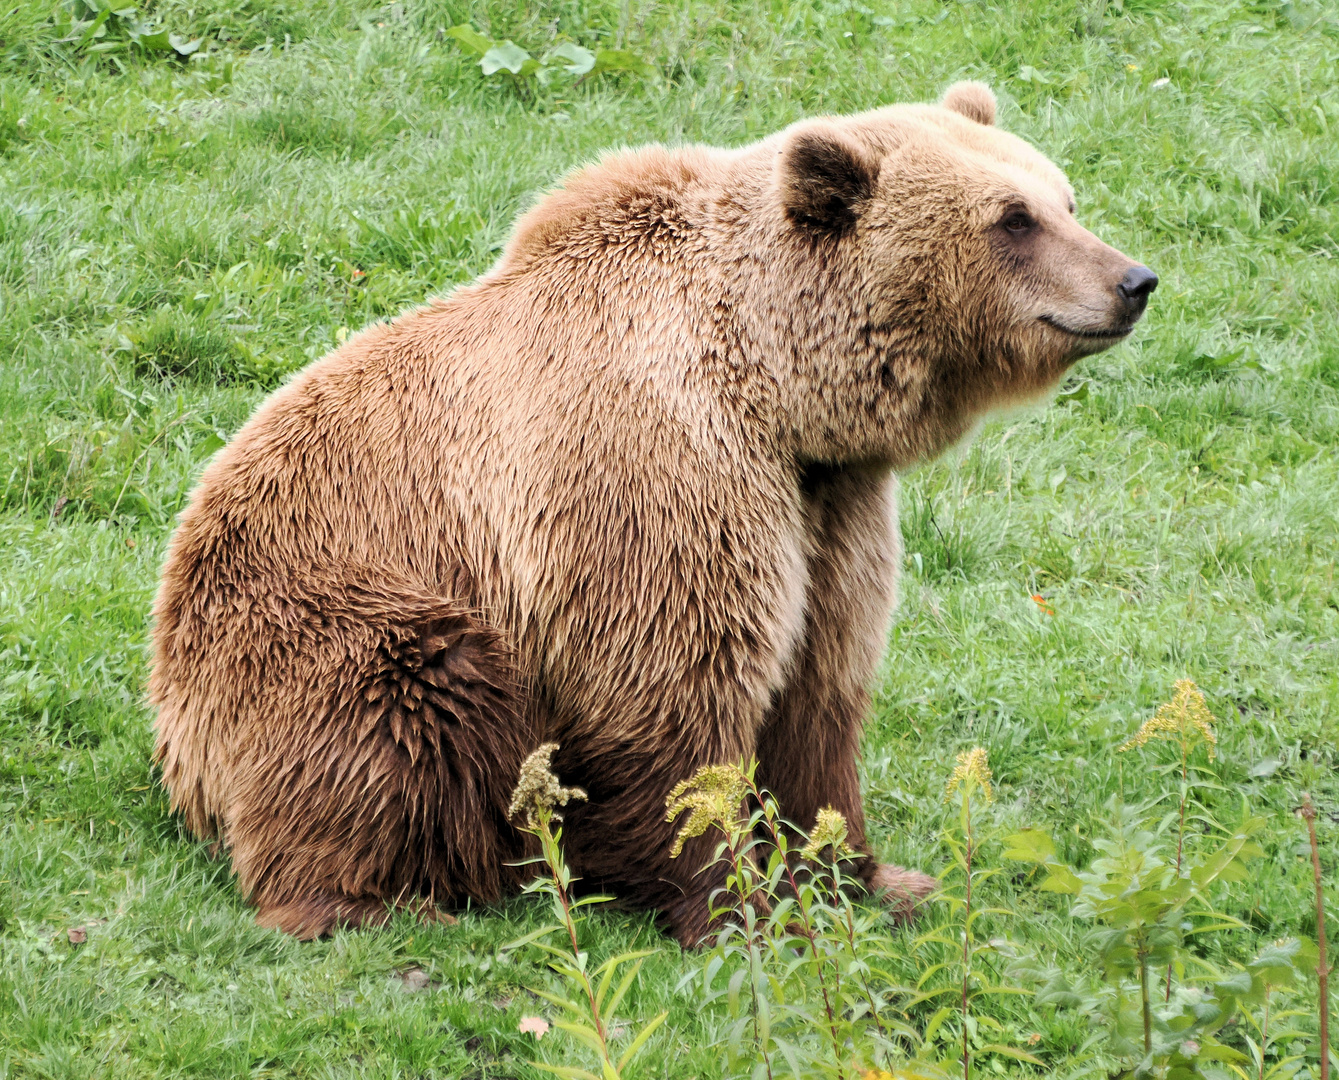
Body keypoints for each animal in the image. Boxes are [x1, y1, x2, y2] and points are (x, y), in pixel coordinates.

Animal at [146, 82, 1151, 947]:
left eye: (1064, 198)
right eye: (1012, 218)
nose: (1132, 280)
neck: (778, 387)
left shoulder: (832, 505)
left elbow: (820, 685)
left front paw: (868, 877)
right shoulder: (653, 471)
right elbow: (675, 693)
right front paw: (736, 908)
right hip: (319, 617)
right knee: (403, 711)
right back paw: (377, 901)